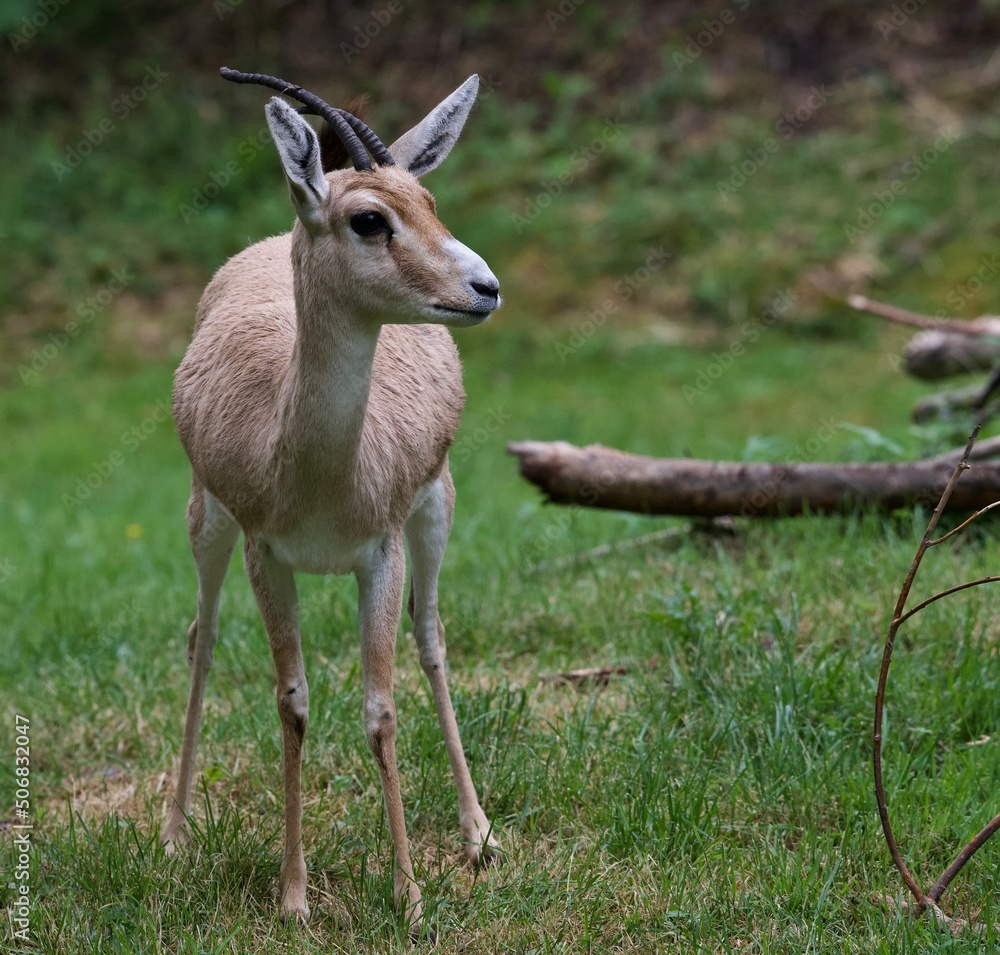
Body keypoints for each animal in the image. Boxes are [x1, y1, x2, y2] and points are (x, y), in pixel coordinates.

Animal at [162, 67, 501, 935]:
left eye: (429, 202)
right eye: (370, 218)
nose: (484, 287)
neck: (319, 469)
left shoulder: (378, 551)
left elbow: (380, 707)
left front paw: (409, 894)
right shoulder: (266, 552)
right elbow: (293, 701)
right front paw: (293, 896)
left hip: (436, 508)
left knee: (431, 638)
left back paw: (478, 832)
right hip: (205, 520)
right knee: (202, 638)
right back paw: (174, 829)